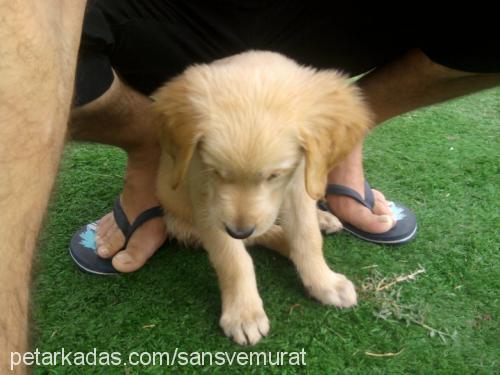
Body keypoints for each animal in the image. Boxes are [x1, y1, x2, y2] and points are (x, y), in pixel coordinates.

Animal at [152, 50, 372, 346]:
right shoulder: (206, 200)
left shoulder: (300, 181)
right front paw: (243, 314)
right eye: (215, 172)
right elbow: (233, 259)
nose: (238, 230)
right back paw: (285, 243)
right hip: (179, 222)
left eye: (274, 175)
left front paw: (324, 282)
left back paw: (321, 219)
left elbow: (307, 236)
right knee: (259, 237)